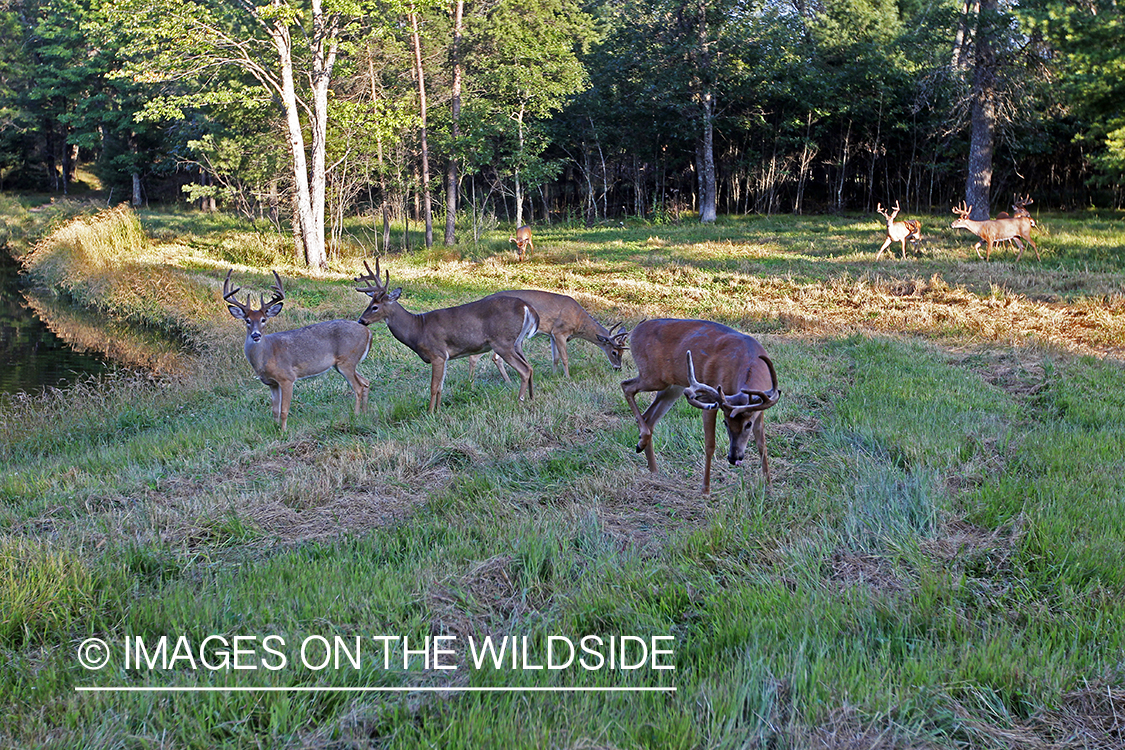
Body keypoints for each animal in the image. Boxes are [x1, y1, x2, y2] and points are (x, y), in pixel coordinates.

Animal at [221, 270, 371, 434]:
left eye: (263, 319)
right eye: (247, 320)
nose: (256, 335)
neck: (267, 354)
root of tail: (368, 332)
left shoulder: (287, 378)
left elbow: (284, 410)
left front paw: (283, 432)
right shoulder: (272, 383)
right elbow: (274, 410)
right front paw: (275, 429)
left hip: (347, 360)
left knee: (358, 387)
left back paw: (355, 416)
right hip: (344, 364)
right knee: (365, 382)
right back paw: (364, 413)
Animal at [355, 258, 540, 411]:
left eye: (375, 307)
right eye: (369, 303)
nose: (361, 320)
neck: (417, 328)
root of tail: (527, 307)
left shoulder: (436, 354)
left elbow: (433, 387)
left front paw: (430, 413)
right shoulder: (445, 357)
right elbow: (440, 387)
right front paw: (438, 411)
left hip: (503, 342)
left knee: (524, 369)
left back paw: (520, 401)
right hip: (516, 342)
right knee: (530, 366)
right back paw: (531, 398)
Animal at [461, 287, 630, 382]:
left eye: (623, 352)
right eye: (614, 352)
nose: (618, 368)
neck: (578, 321)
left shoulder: (552, 334)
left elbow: (555, 358)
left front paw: (554, 376)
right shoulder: (560, 331)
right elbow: (565, 358)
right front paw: (568, 378)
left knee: (495, 357)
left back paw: (507, 382)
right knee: (477, 356)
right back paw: (470, 382)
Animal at [621, 319, 778, 494]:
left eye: (748, 424)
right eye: (725, 423)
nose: (733, 458)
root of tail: (635, 331)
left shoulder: (759, 411)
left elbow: (762, 445)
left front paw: (769, 486)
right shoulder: (712, 400)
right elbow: (710, 445)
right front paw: (705, 489)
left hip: (672, 387)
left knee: (649, 417)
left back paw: (652, 466)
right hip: (653, 376)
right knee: (626, 386)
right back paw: (643, 443)